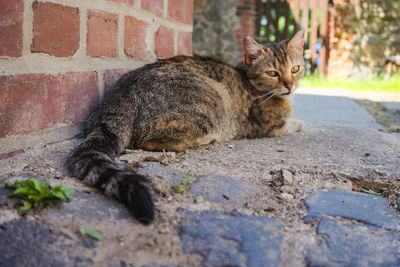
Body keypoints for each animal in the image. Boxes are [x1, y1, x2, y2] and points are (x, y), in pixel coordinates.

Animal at [65, 29, 306, 224]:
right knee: (152, 141)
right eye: (272, 73)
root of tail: (123, 96)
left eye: (295, 69)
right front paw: (300, 122)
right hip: (214, 101)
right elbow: (291, 123)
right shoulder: (268, 127)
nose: (290, 84)